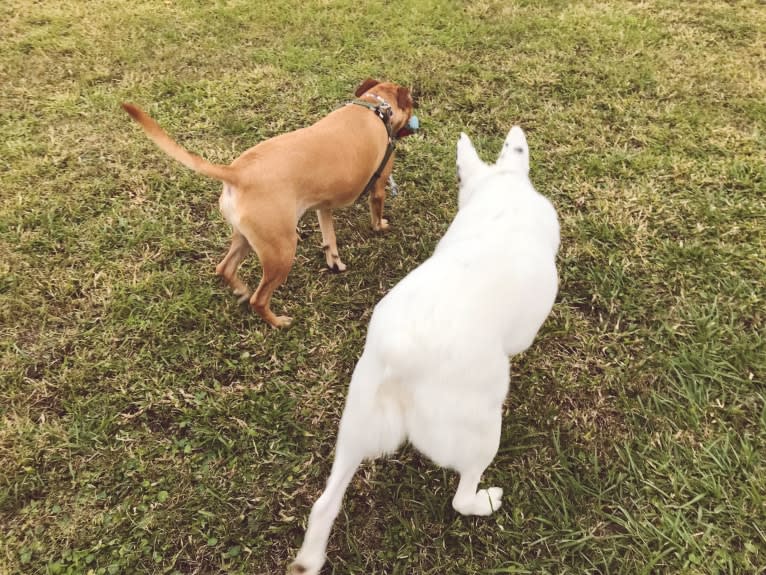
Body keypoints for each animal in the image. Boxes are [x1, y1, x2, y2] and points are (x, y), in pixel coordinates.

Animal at [123, 79, 416, 328]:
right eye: (413, 101)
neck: (375, 107)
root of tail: (237, 173)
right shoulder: (379, 184)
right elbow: (376, 211)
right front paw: (380, 226)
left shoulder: (323, 205)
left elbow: (329, 238)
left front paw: (334, 261)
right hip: (281, 250)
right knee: (260, 298)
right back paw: (277, 322)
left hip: (247, 237)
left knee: (224, 268)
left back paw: (241, 290)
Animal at [288, 126, 560, 575]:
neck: (500, 207)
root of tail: (399, 358)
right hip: (482, 432)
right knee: (461, 497)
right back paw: (486, 501)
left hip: (355, 427)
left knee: (324, 504)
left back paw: (310, 557)